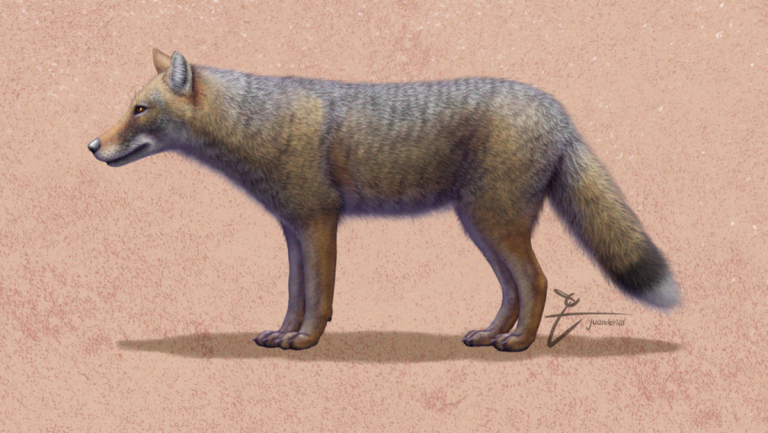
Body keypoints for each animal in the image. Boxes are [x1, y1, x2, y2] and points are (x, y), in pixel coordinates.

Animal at [88, 49, 680, 352]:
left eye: (139, 109)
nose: (92, 146)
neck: (259, 124)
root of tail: (557, 110)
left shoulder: (319, 222)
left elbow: (319, 296)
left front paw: (305, 341)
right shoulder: (293, 227)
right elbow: (294, 291)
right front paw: (283, 333)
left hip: (494, 223)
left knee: (535, 281)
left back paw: (518, 343)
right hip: (481, 226)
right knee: (513, 288)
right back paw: (492, 334)